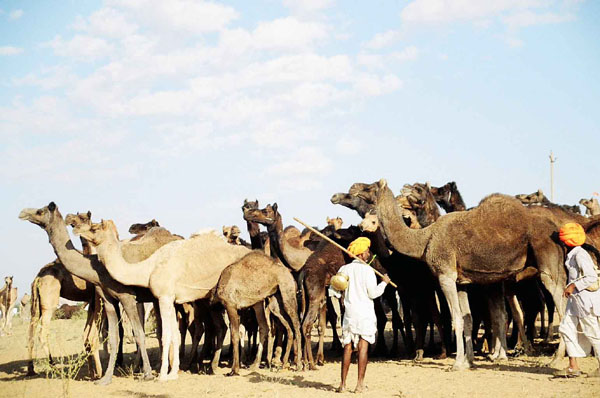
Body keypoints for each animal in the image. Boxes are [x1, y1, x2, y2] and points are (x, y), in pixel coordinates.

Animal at [20, 204, 158, 384]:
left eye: (40, 211)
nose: (23, 213)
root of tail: (37, 277)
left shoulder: (101, 300)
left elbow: (93, 334)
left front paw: (99, 371)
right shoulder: (102, 299)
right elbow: (101, 334)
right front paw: (103, 371)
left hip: (42, 303)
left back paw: (42, 369)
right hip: (44, 302)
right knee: (38, 332)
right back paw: (45, 368)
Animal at [72, 219, 251, 380]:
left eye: (94, 227)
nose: (75, 229)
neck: (149, 268)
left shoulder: (164, 297)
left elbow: (165, 335)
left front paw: (163, 374)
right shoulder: (170, 299)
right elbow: (174, 334)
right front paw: (173, 372)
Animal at [370, 180, 572, 370]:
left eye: (371, 189)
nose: (403, 189)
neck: (425, 238)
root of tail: (556, 231)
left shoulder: (446, 275)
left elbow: (457, 318)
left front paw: (458, 363)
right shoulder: (461, 282)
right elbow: (468, 319)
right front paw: (469, 361)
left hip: (546, 263)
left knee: (557, 302)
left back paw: (555, 359)